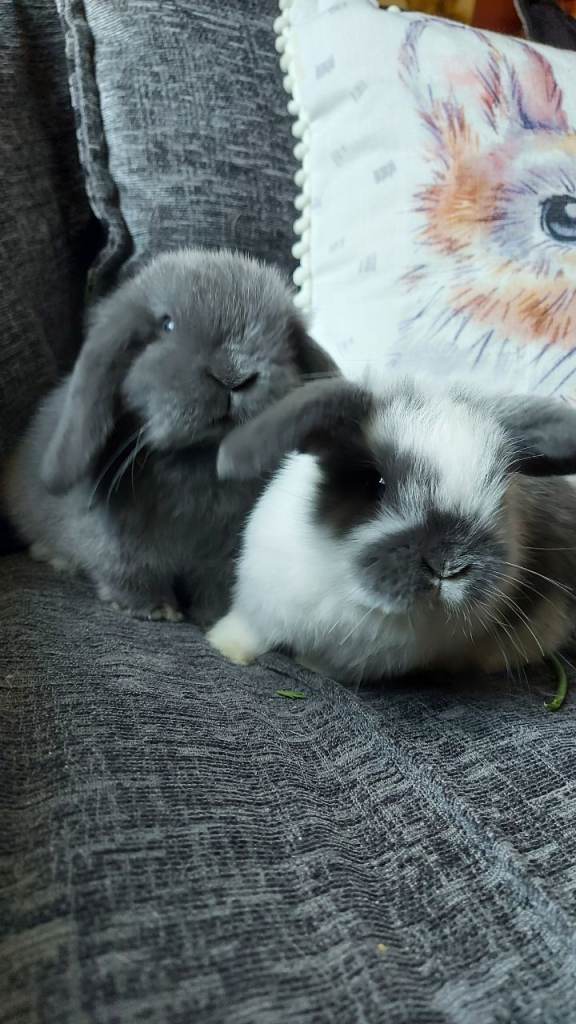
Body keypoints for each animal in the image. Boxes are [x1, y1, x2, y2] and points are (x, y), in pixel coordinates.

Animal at [2, 249, 338, 623]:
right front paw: (153, 609)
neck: (200, 460)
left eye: (286, 337)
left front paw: (213, 616)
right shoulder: (118, 543)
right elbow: (127, 570)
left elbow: (218, 584)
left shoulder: (225, 553)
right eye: (167, 325)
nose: (234, 375)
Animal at [207, 375, 576, 683]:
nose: (448, 565)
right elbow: (246, 631)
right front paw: (224, 648)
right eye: (376, 483)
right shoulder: (260, 606)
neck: (351, 590)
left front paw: (307, 665)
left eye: (501, 499)